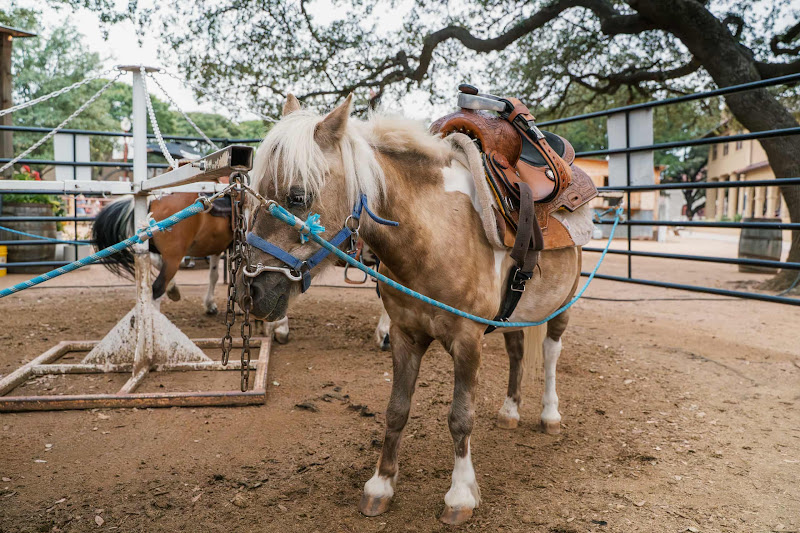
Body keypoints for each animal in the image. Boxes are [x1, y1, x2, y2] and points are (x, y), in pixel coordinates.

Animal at [92, 193, 289, 341]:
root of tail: (154, 200)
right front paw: (278, 325)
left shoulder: (218, 248)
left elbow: (215, 276)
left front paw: (211, 305)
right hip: (174, 257)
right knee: (157, 288)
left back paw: (173, 290)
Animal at [236, 94, 582, 525]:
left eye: (297, 196)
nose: (251, 290)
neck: (436, 233)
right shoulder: (405, 335)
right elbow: (396, 410)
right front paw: (381, 485)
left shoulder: (467, 341)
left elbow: (460, 417)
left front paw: (460, 495)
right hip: (516, 314)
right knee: (518, 351)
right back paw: (510, 411)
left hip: (562, 306)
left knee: (551, 353)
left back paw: (550, 415)